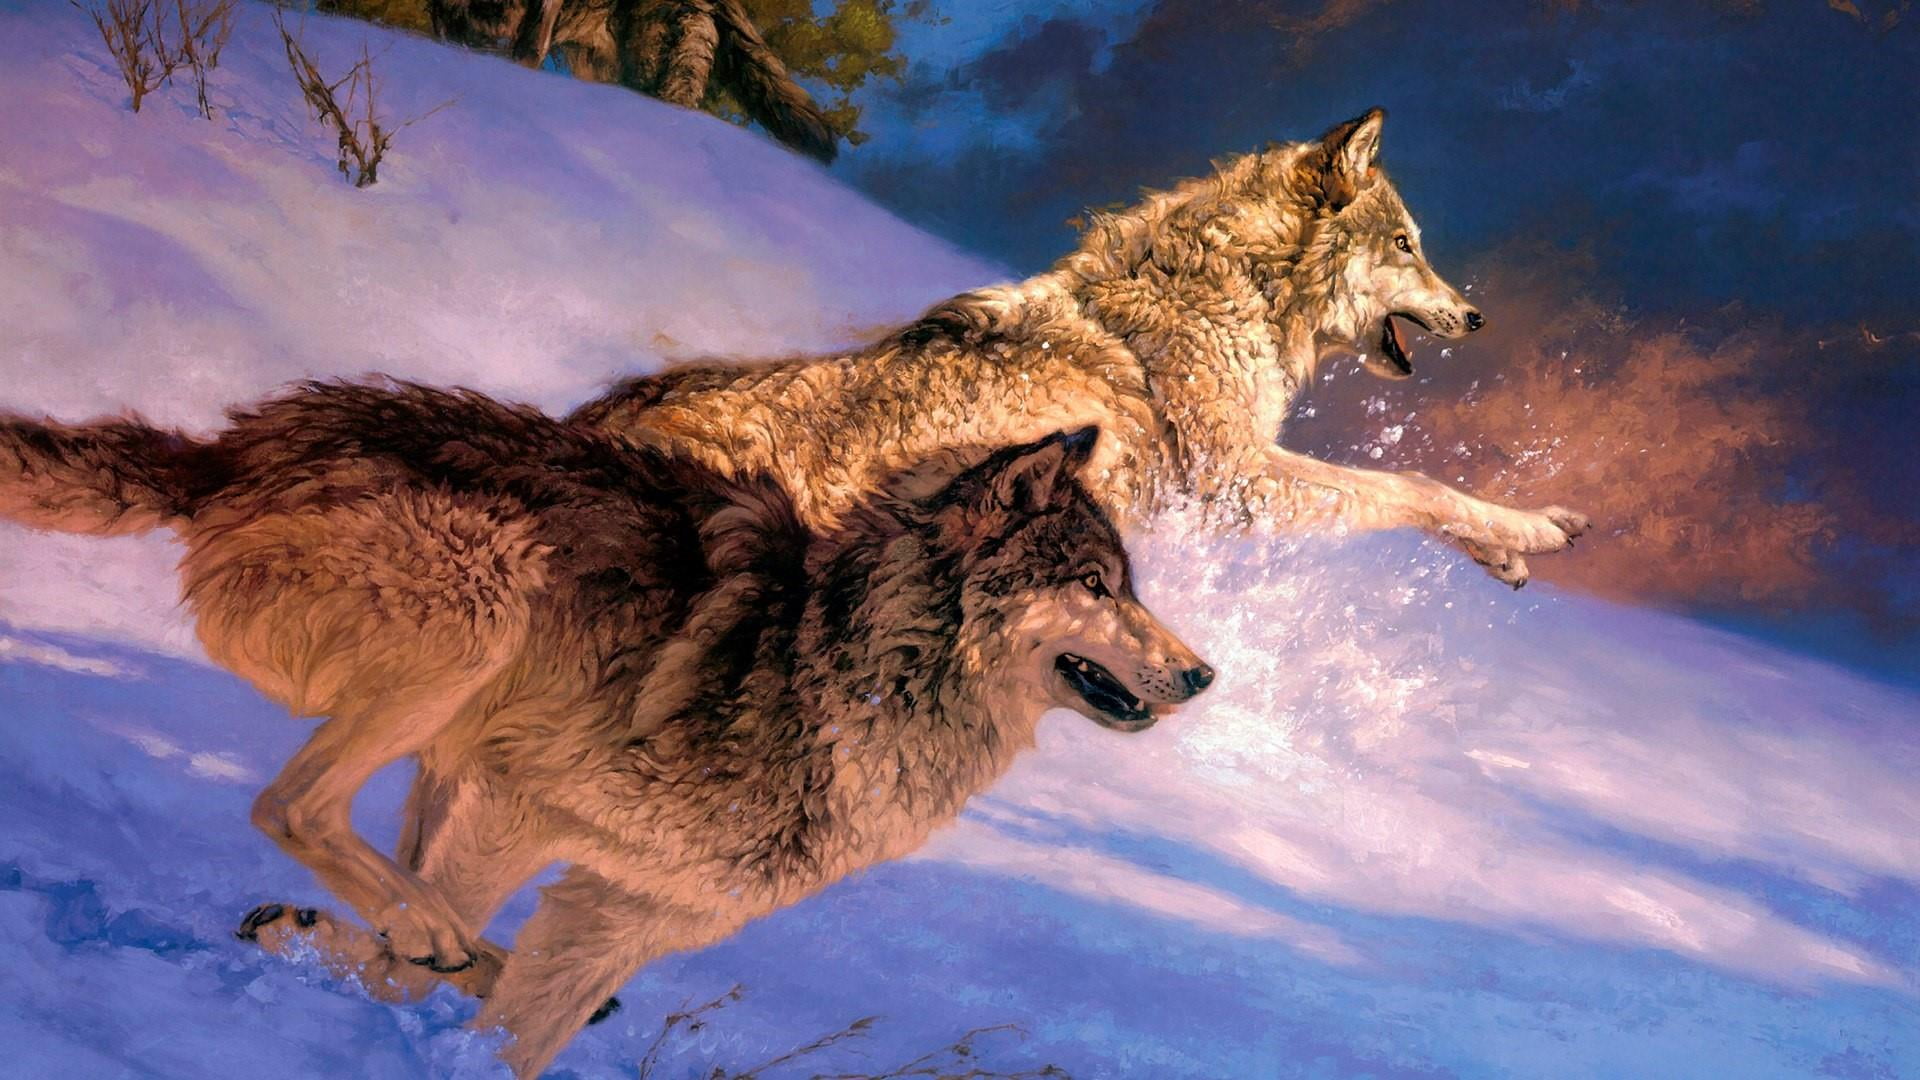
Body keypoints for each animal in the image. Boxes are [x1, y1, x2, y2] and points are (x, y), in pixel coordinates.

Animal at [0, 382, 1211, 1076]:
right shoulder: (520, 802)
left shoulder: (624, 913)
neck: (843, 672)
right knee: (295, 809)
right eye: (1098, 586)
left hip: (450, 739)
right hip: (484, 618)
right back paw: (417, 930)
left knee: (371, 864)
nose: (1204, 676)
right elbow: (419, 975)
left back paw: (350, 930)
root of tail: (230, 452)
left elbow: (520, 1034)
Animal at [575, 108, 1588, 587]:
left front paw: (1510, 551)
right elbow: (1411, 486)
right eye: (1408, 245)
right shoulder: (1233, 483)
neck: (1234, 294)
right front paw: (1535, 528)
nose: (1477, 318)